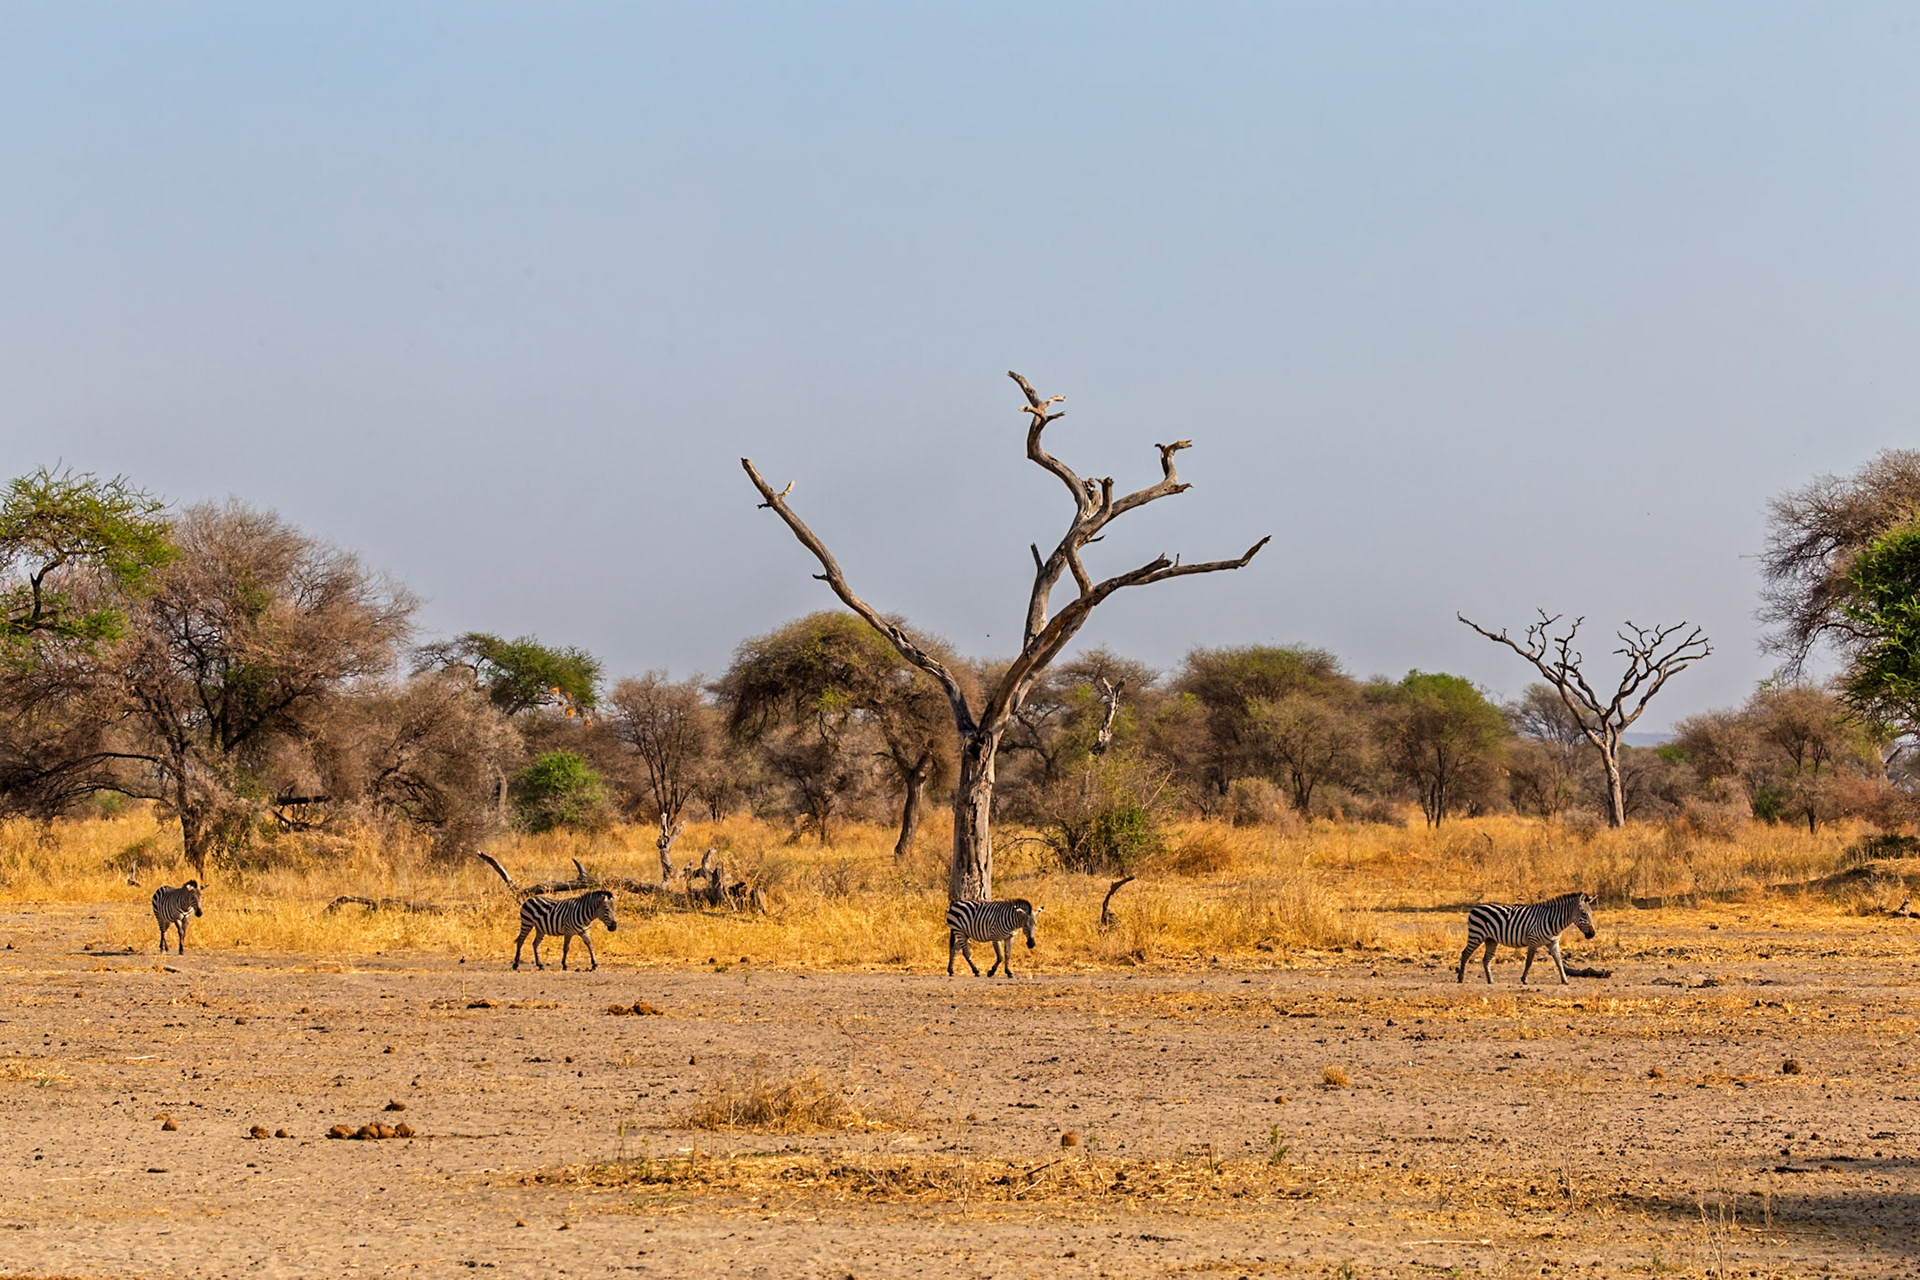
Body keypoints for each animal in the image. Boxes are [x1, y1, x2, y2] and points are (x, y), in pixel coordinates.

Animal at [1456, 892, 1597, 985]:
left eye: (1591, 914)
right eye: (1584, 914)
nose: (1592, 934)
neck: (1553, 921)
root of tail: (1476, 907)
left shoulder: (1553, 942)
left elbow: (1559, 962)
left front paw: (1565, 980)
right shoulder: (1533, 940)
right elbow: (1529, 962)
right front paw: (1524, 979)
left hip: (1491, 939)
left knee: (1486, 959)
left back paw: (1491, 980)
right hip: (1476, 935)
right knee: (1465, 953)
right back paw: (1460, 978)